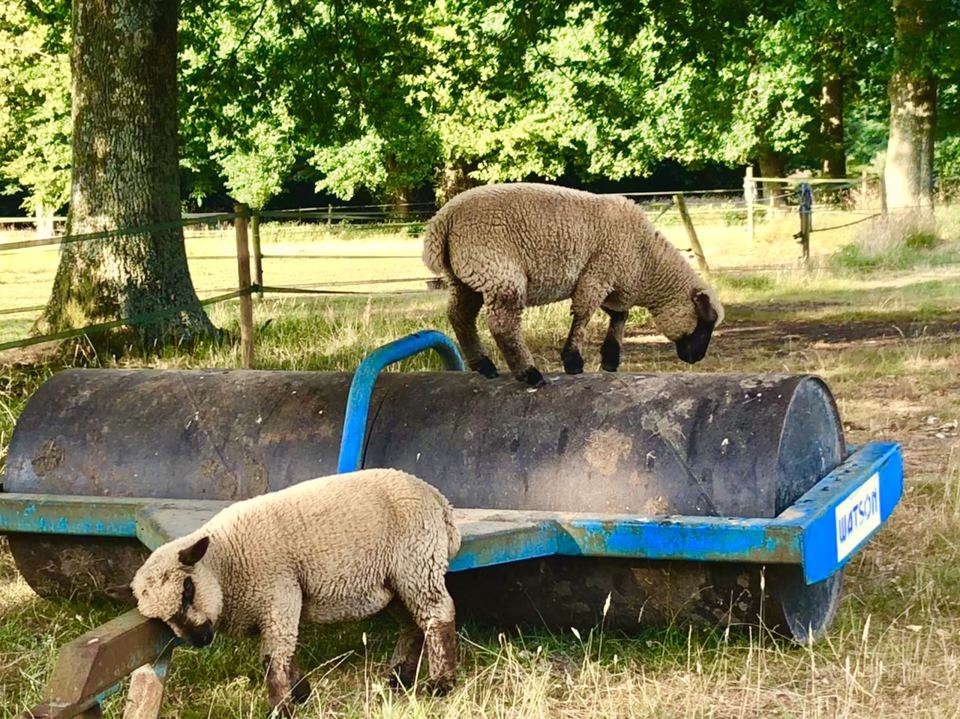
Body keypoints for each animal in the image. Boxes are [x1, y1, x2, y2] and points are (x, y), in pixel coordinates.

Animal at [131, 469, 461, 716]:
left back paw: (441, 683)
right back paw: (399, 679)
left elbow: (273, 658)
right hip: (394, 580)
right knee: (413, 624)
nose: (200, 640)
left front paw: (281, 708)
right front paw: (300, 693)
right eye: (161, 619)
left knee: (437, 615)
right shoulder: (277, 605)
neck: (226, 559)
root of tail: (439, 499)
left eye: (187, 588)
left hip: (417, 562)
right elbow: (283, 654)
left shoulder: (279, 594)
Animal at [423, 182, 724, 387]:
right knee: (502, 325)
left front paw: (610, 358)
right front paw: (573, 361)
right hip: (498, 270)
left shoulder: (612, 280)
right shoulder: (599, 272)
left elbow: (619, 315)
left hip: (465, 277)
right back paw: (529, 374)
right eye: (704, 322)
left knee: (460, 316)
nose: (696, 358)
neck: (646, 261)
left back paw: (483, 365)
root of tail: (443, 221)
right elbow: (583, 315)